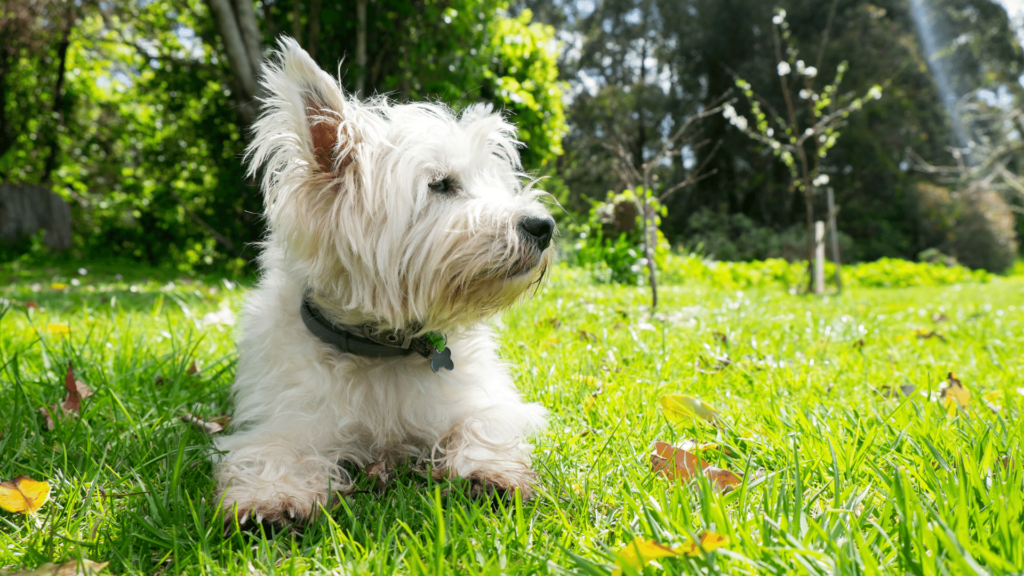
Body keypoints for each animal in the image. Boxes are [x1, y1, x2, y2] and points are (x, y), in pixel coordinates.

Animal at [211, 35, 557, 520]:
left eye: (495, 182)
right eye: (441, 184)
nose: (543, 226)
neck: (385, 349)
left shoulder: (484, 401)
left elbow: (480, 424)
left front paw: (491, 473)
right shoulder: (286, 419)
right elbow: (278, 450)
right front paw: (272, 497)